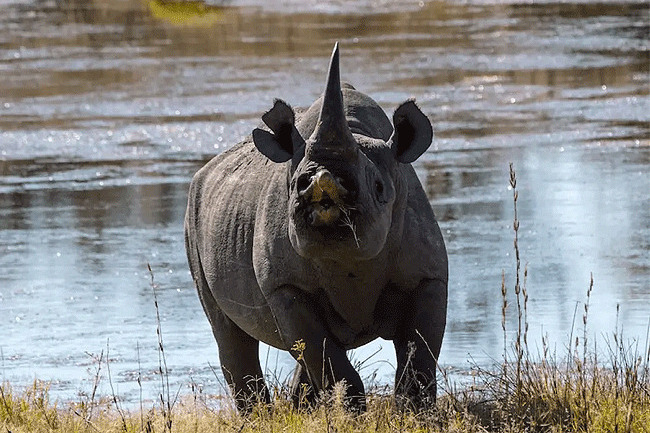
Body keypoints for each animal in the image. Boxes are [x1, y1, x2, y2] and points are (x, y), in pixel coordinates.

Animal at [184, 43, 448, 412]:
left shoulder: (428, 276)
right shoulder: (284, 286)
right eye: (297, 183)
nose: (321, 182)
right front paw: (353, 415)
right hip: (192, 217)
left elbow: (419, 358)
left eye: (380, 188)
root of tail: (205, 171)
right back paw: (261, 416)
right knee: (232, 336)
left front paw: (414, 414)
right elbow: (327, 360)